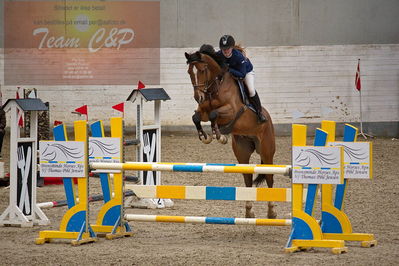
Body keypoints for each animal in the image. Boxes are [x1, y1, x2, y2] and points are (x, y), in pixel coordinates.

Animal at [185, 47, 276, 218]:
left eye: (202, 70)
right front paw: (205, 136)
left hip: (267, 151)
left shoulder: (232, 111)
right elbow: (196, 117)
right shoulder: (203, 110)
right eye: (189, 72)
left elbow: (214, 115)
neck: (215, 87)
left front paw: (219, 135)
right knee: (247, 178)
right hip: (242, 151)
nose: (197, 97)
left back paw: (272, 211)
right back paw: (249, 211)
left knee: (269, 177)